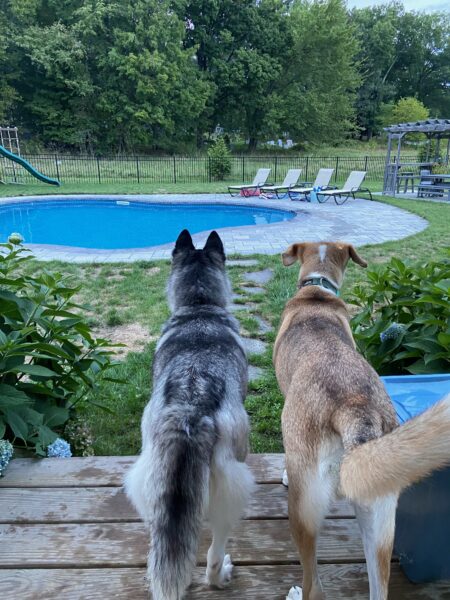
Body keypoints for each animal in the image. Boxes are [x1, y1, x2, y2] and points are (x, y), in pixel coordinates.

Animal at [272, 241, 450, 600]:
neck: (317, 291)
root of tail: (354, 410)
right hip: (379, 517)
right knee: (378, 589)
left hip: (303, 509)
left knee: (314, 585)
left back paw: (296, 592)